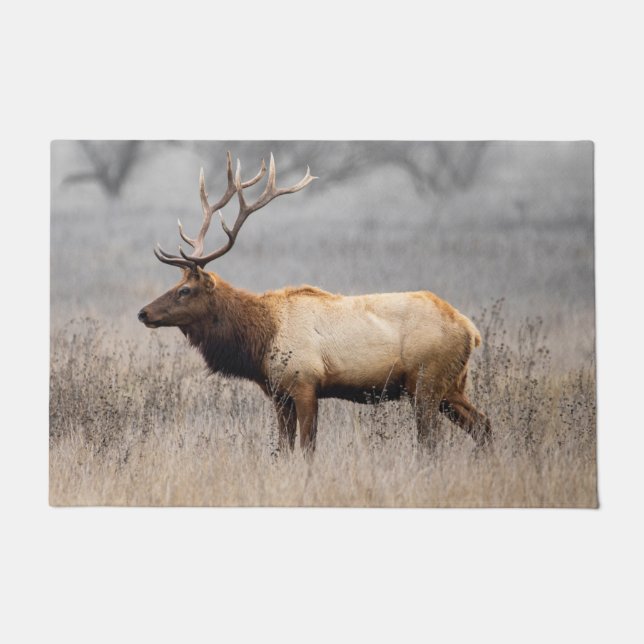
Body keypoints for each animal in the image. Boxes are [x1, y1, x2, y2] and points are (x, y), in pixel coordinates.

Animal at [138, 151, 491, 455]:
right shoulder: (278, 394)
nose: (143, 312)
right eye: (175, 284)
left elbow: (307, 448)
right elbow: (283, 449)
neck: (260, 341)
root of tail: (470, 331)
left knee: (431, 442)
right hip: (451, 385)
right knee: (483, 425)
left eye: (185, 290)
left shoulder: (305, 382)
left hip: (426, 382)